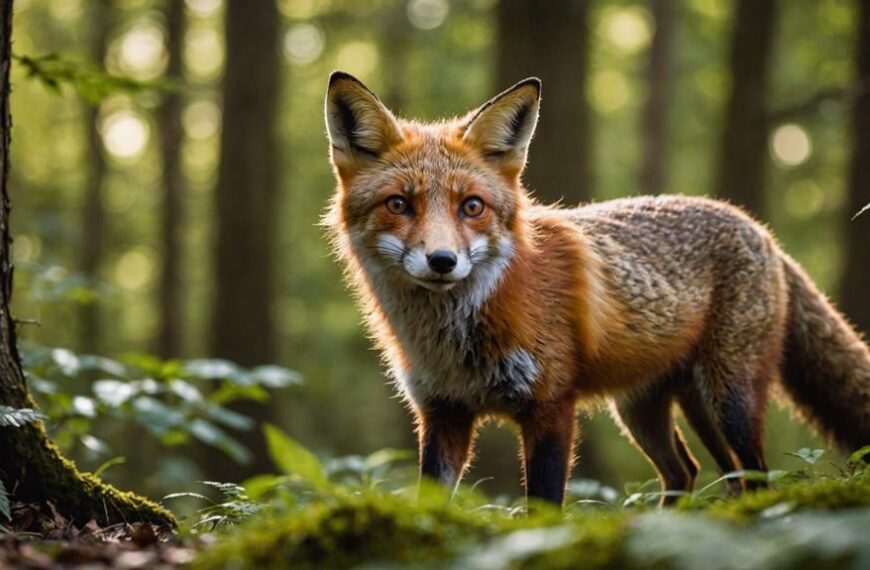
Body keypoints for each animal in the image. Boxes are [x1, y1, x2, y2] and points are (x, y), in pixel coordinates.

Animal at [323, 70, 870, 506]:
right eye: (399, 204)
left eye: (472, 207)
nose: (442, 261)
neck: (456, 340)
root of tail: (759, 229)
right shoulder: (443, 413)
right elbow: (430, 500)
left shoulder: (551, 405)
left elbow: (544, 505)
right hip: (650, 408)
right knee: (695, 472)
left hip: (728, 397)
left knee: (753, 473)